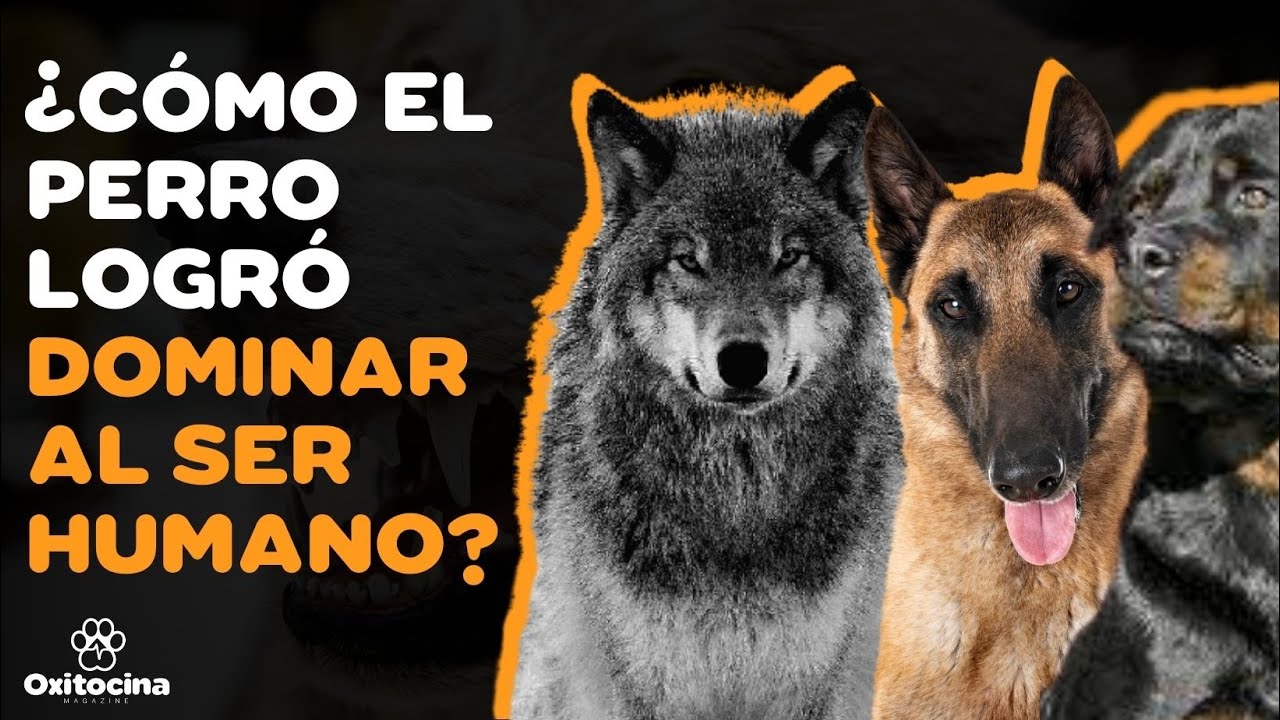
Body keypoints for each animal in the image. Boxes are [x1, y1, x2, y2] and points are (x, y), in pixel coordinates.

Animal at [510, 78, 902, 720]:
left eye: (788, 255)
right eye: (688, 259)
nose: (742, 360)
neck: (736, 497)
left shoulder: (820, 675)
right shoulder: (642, 676)